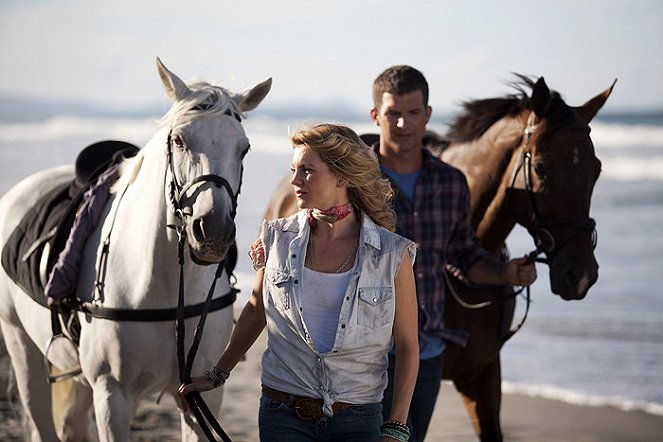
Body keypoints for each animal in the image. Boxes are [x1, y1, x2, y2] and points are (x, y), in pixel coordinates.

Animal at [0, 59, 272, 442]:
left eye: (243, 148)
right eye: (179, 140)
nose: (213, 233)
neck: (162, 286)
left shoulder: (201, 395)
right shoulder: (112, 396)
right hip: (22, 347)